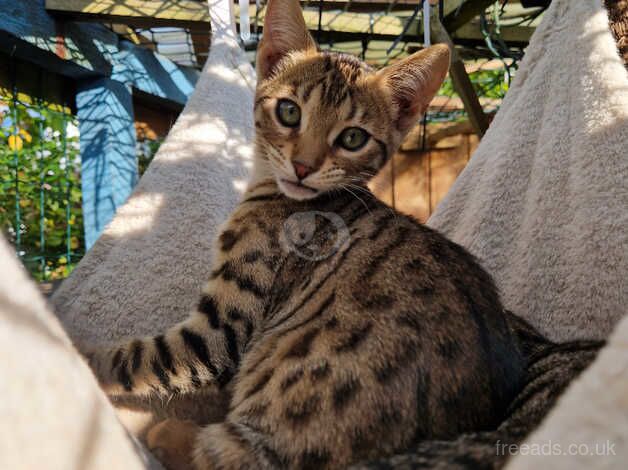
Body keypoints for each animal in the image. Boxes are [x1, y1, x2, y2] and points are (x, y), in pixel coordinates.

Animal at [84, 1, 580, 468]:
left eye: (353, 138)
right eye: (289, 111)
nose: (303, 166)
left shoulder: (221, 328)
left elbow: (140, 357)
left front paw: (81, 358)